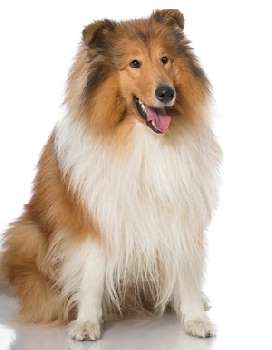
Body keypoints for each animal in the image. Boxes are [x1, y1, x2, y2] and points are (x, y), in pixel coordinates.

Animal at [1, 9, 221, 340]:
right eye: (134, 63)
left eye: (165, 59)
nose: (166, 92)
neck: (144, 140)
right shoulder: (95, 218)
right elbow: (92, 274)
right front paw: (87, 322)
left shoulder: (178, 213)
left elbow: (185, 270)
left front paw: (195, 316)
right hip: (28, 233)